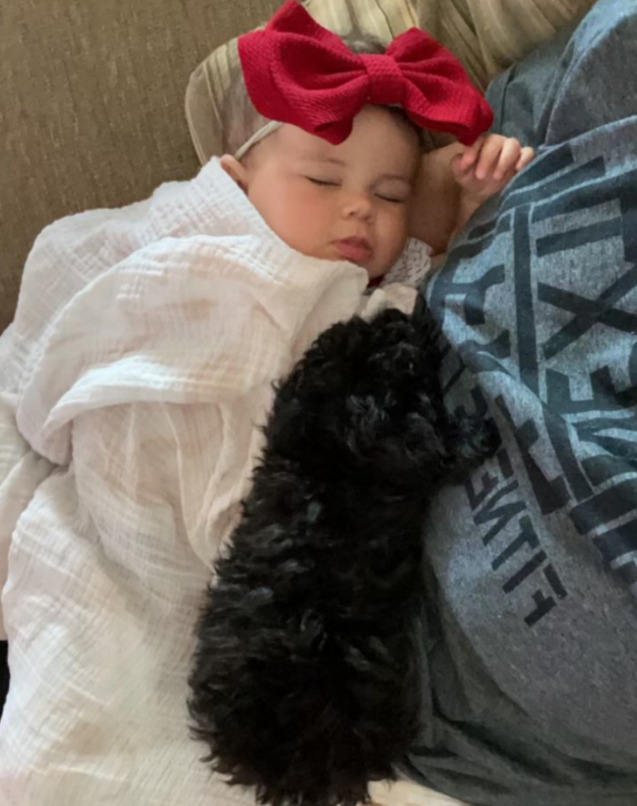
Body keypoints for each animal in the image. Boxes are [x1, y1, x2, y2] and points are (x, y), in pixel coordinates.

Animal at [188, 308, 496, 806]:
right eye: (383, 345)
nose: (395, 313)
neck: (323, 455)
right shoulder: (396, 446)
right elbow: (429, 441)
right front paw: (475, 432)